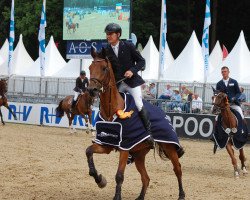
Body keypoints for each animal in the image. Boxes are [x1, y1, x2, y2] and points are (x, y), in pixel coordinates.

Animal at [86, 48, 186, 200]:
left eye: (104, 68)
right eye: (90, 68)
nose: (92, 90)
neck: (111, 112)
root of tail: (164, 114)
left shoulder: (125, 147)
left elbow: (119, 175)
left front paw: (116, 196)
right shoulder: (106, 144)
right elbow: (88, 151)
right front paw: (99, 180)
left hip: (169, 147)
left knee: (177, 169)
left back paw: (181, 195)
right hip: (139, 154)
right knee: (146, 178)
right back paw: (140, 197)